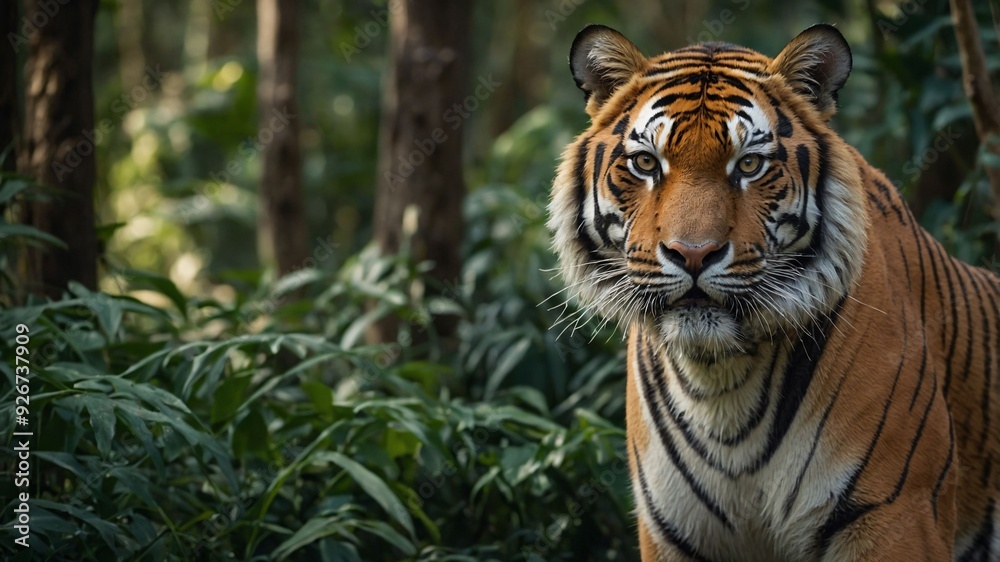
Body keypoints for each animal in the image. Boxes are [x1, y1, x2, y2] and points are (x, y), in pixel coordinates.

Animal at [547, 23, 1000, 561]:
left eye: (748, 165)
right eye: (645, 163)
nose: (693, 254)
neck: (720, 380)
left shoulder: (897, 513)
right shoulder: (671, 534)